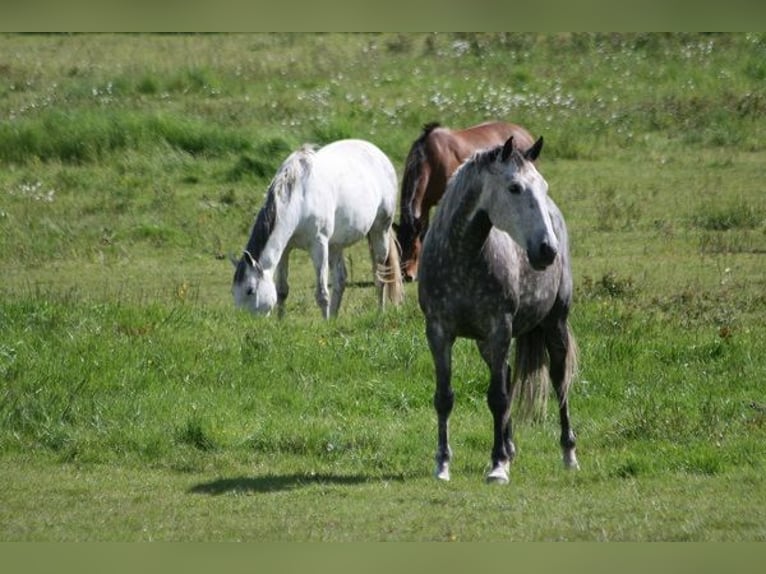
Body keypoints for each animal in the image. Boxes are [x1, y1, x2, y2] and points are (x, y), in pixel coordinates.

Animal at [231, 139, 404, 320]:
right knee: (340, 280)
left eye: (250, 290)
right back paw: (334, 318)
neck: (300, 199)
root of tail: (379, 154)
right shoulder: (285, 249)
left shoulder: (319, 245)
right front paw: (280, 322)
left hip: (380, 231)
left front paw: (325, 323)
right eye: (233, 292)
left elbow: (322, 294)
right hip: (335, 245)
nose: (244, 322)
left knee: (380, 277)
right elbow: (282, 290)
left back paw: (380, 313)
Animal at [396, 121, 536, 284]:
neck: (430, 160)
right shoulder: (424, 204)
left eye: (414, 249)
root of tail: (525, 132)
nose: (406, 275)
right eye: (399, 247)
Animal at [416, 135, 580, 486]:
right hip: (485, 342)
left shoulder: (499, 328)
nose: (547, 250)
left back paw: (568, 453)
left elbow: (498, 398)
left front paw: (497, 465)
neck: (463, 258)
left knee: (559, 381)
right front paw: (443, 463)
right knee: (504, 373)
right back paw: (510, 445)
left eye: (543, 185)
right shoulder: (438, 331)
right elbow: (444, 397)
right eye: (514, 187)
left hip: (553, 323)